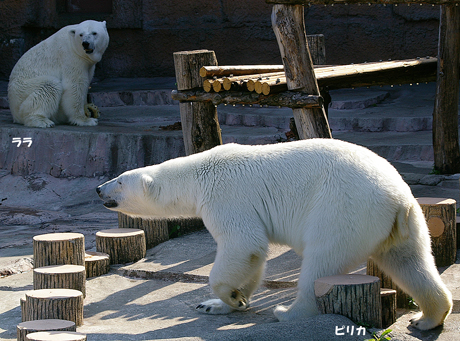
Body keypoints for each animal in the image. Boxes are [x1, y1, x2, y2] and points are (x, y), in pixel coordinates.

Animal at [97, 138, 452, 330]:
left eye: (119, 180)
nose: (99, 188)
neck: (198, 174)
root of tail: (399, 197)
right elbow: (255, 256)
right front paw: (223, 303)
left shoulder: (226, 195)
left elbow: (242, 244)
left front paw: (228, 296)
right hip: (405, 223)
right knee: (411, 262)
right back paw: (426, 317)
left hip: (341, 207)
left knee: (321, 262)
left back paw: (289, 312)